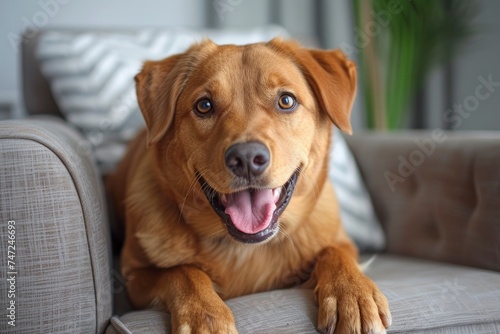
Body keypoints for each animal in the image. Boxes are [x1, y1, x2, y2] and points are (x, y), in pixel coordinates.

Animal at [106, 39, 390, 334]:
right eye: (204, 105)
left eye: (286, 100)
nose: (246, 159)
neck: (244, 249)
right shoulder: (134, 277)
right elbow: (183, 271)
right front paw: (203, 313)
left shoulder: (342, 242)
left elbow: (335, 252)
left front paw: (353, 294)